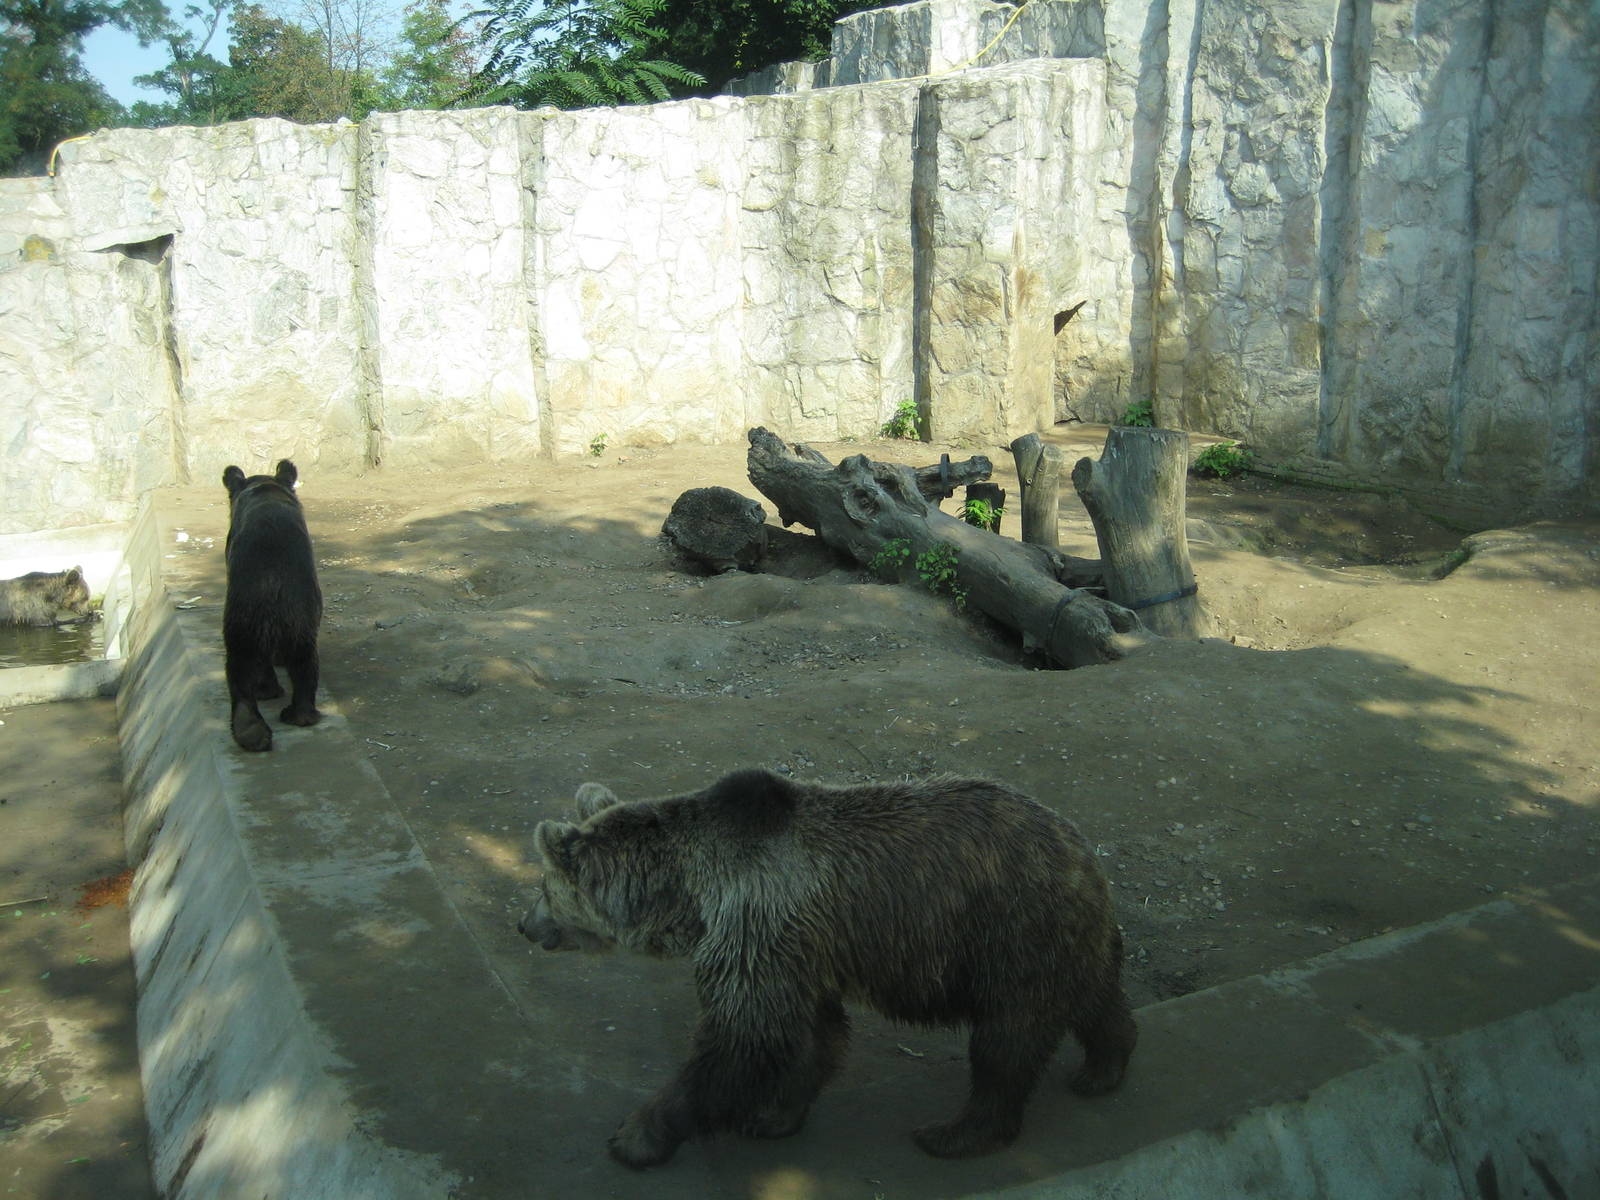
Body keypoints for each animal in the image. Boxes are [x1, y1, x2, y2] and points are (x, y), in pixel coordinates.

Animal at [518, 768, 1137, 1168]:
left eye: (543, 886)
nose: (525, 925)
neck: (691, 896)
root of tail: (1081, 848)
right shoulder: (796, 949)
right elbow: (812, 1035)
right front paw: (774, 1115)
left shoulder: (755, 927)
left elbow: (742, 1037)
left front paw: (636, 1135)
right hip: (1059, 938)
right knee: (1094, 997)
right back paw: (1102, 1068)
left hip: (1009, 931)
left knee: (1005, 1043)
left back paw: (954, 1133)